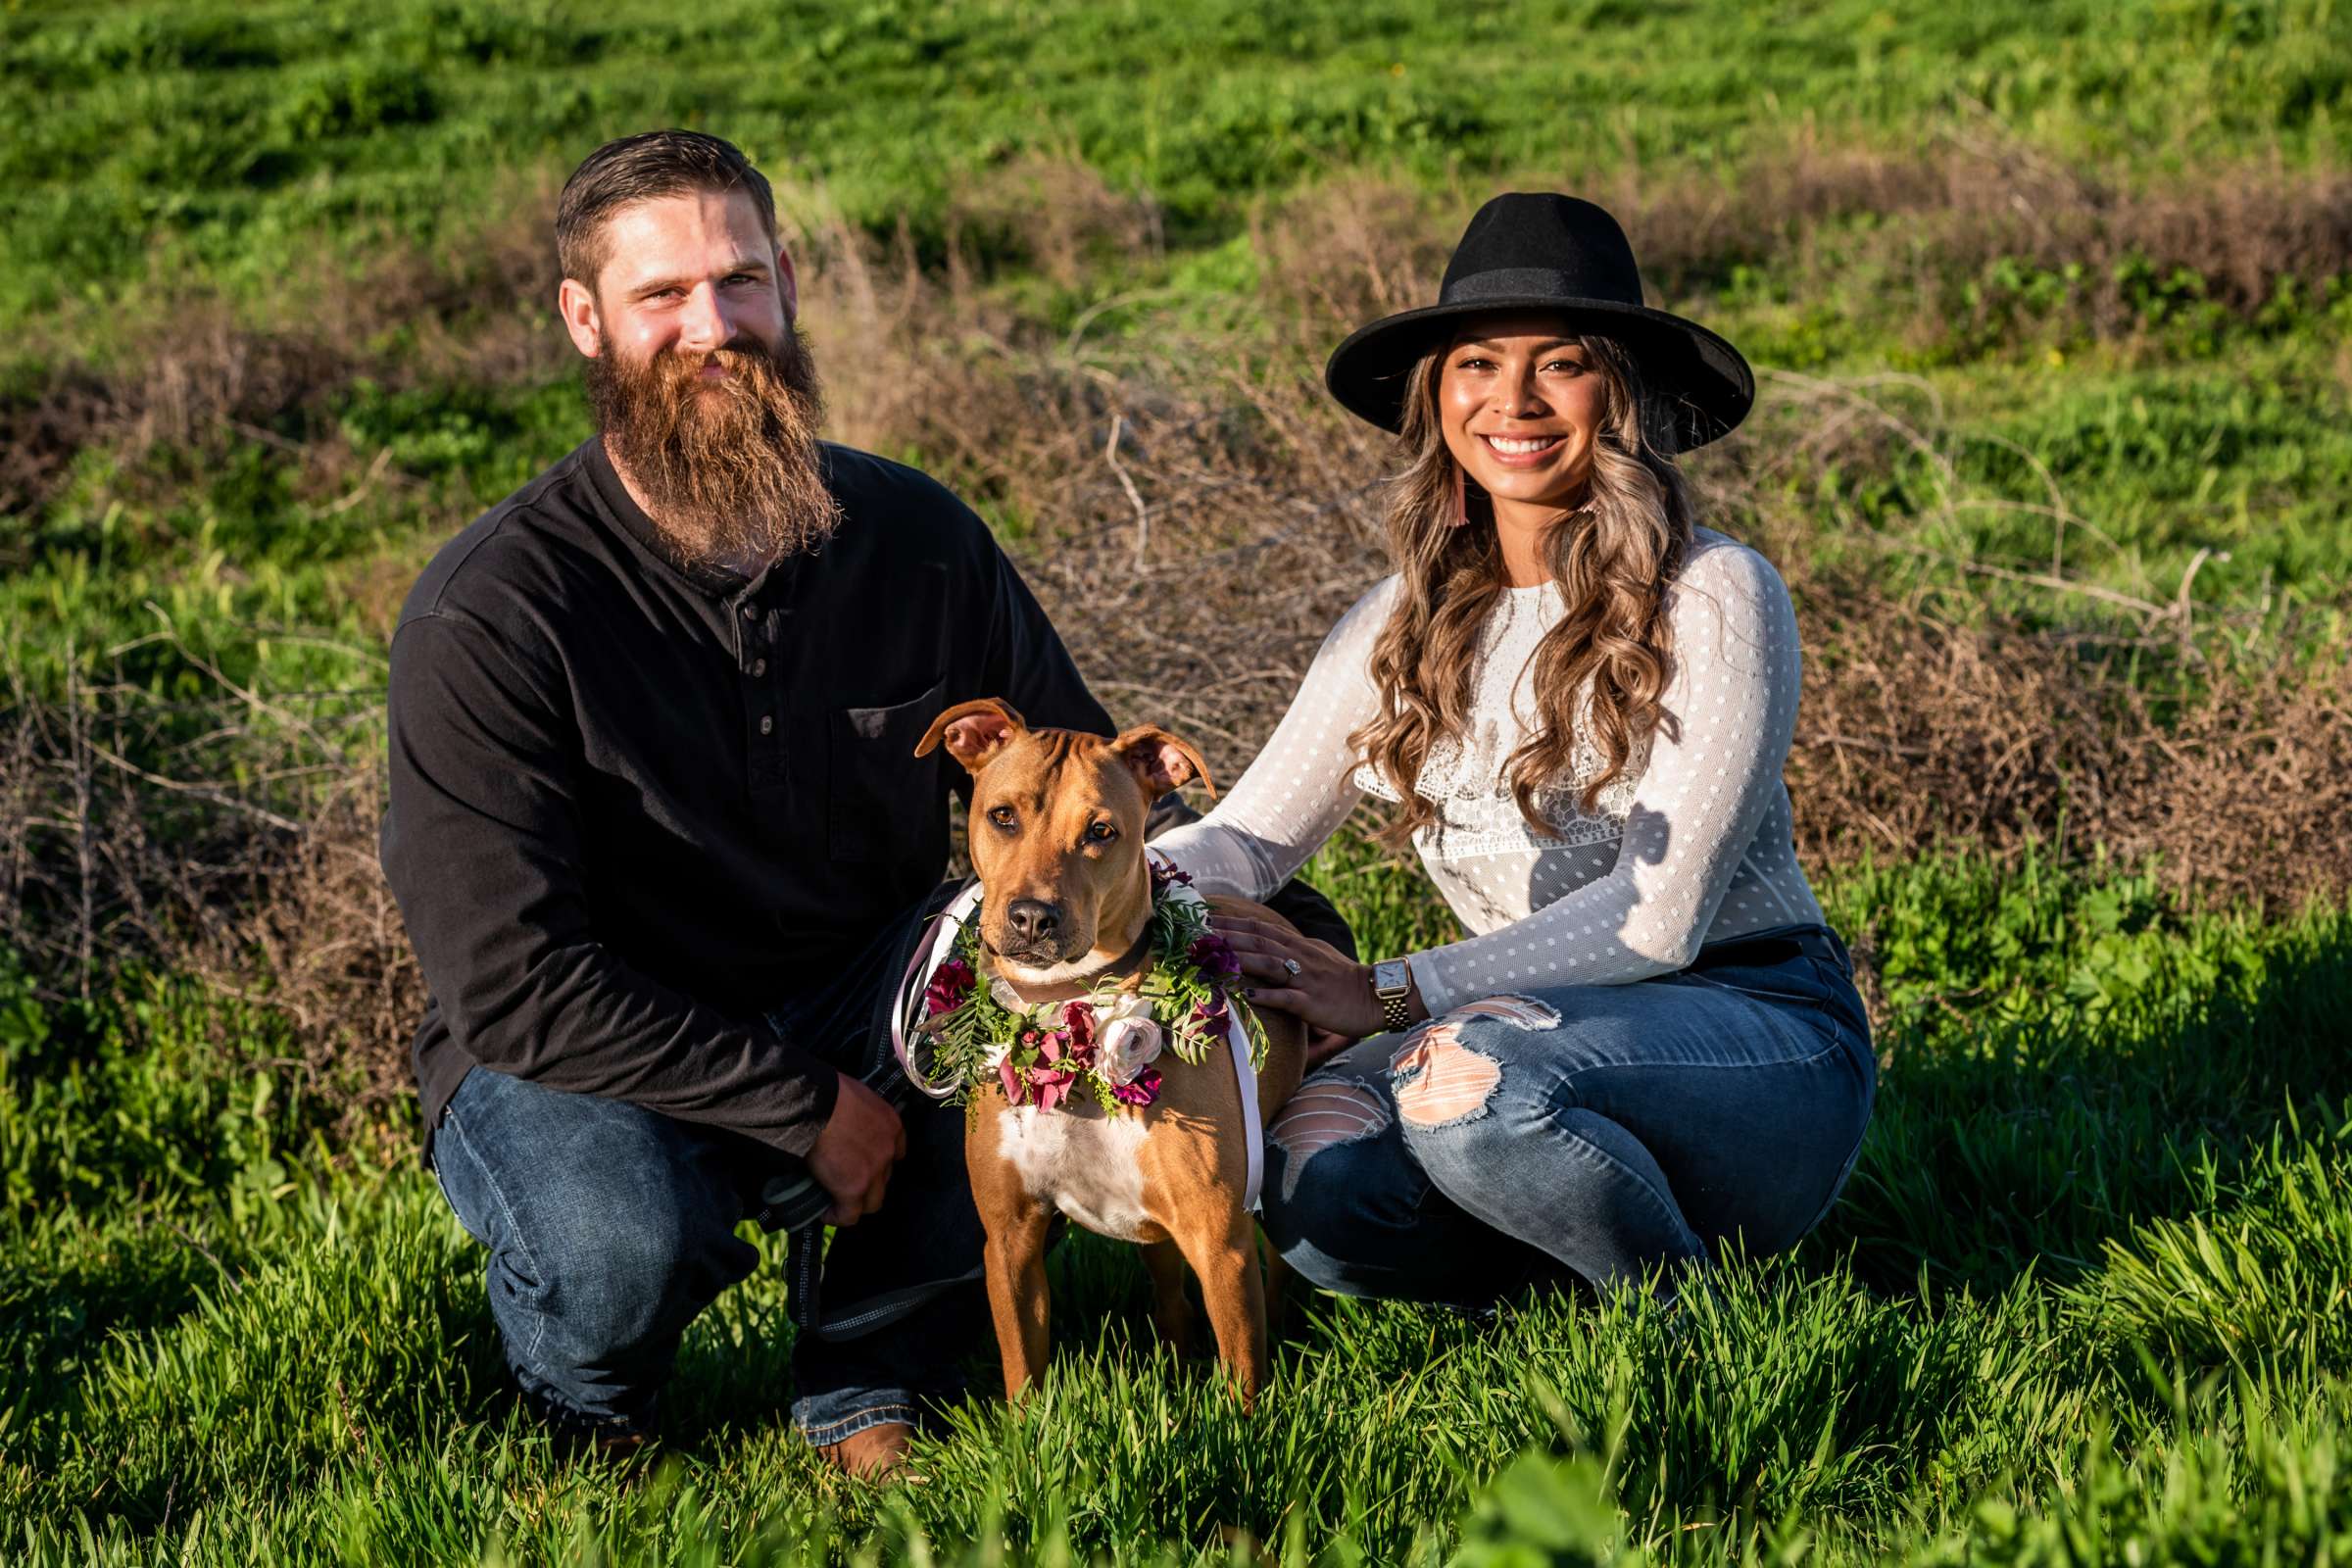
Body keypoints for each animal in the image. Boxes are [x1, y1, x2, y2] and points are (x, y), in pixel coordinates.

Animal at [903, 691, 1307, 1400]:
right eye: (1002, 816)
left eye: (1101, 832)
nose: (1032, 917)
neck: (1066, 1008)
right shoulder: (1010, 1241)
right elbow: (1023, 1369)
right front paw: (1029, 1426)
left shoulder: (1220, 1240)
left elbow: (1242, 1376)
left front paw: (1244, 1422)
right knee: (1169, 1295)